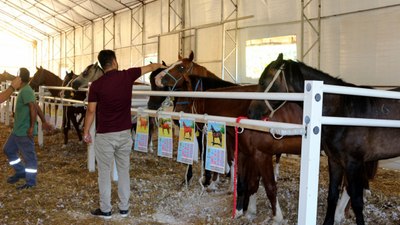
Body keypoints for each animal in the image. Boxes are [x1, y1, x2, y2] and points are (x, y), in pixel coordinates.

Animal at [247, 53, 394, 225]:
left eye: (263, 82)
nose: (250, 112)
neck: (344, 111)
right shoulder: (336, 161)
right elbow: (333, 196)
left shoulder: (353, 163)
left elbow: (357, 201)